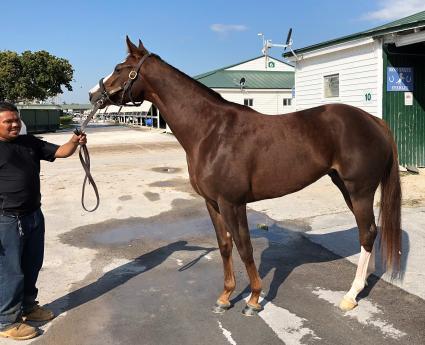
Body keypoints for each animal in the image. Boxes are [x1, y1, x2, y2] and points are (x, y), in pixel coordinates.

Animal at [88, 37, 400, 314]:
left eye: (119, 68)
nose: (93, 95)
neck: (211, 131)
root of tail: (374, 121)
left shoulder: (233, 203)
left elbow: (245, 247)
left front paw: (253, 299)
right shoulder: (213, 203)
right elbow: (225, 246)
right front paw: (226, 296)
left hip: (359, 189)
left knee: (367, 232)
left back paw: (351, 295)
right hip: (345, 187)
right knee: (367, 232)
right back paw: (363, 283)